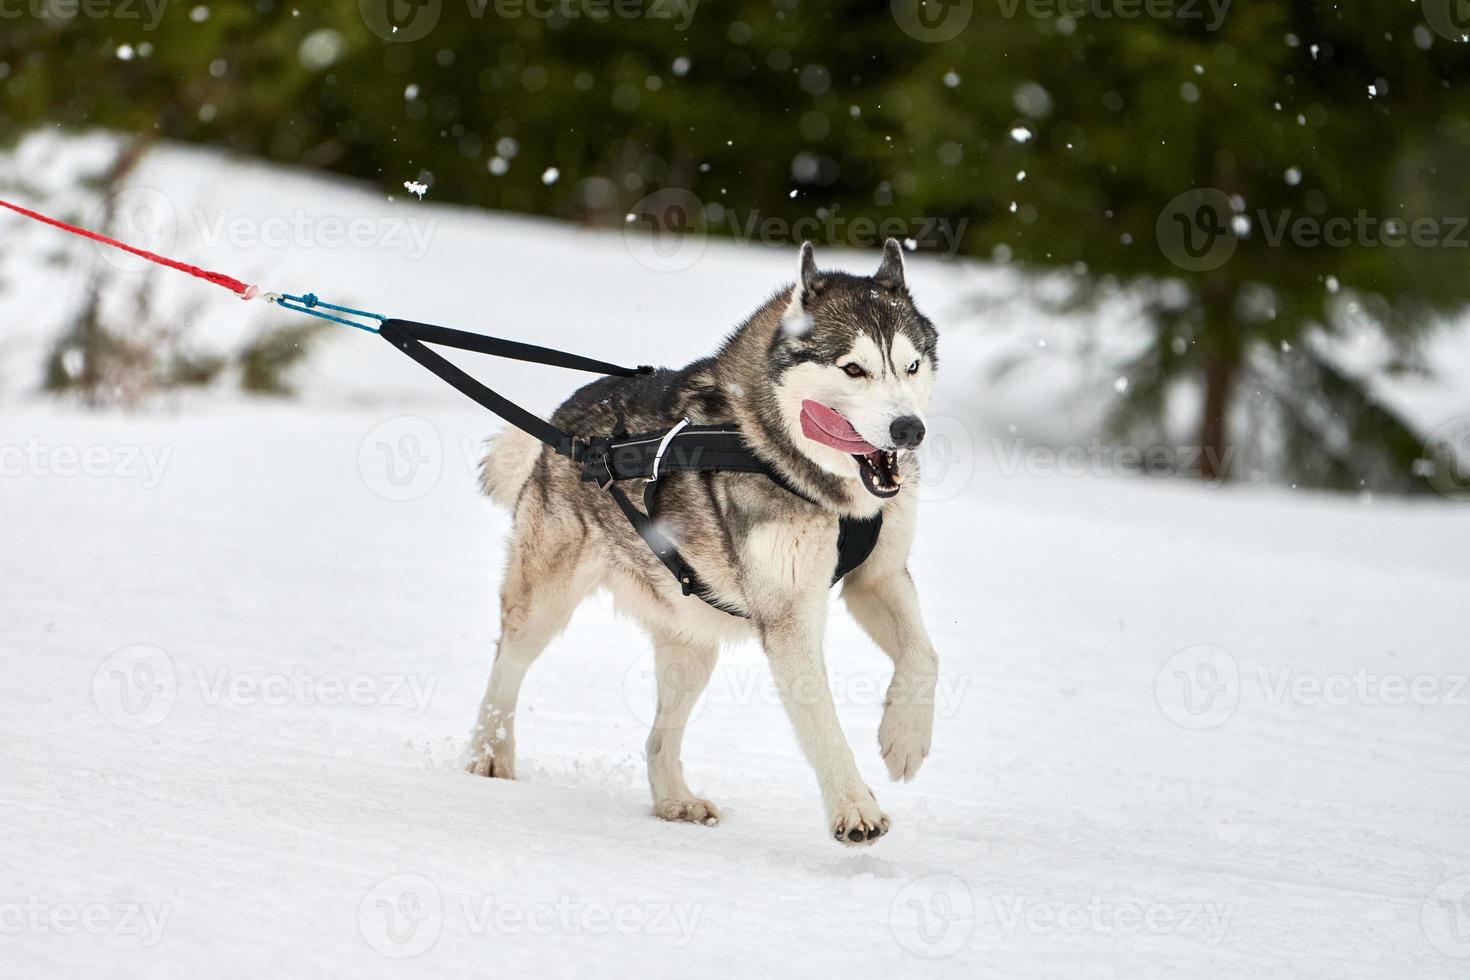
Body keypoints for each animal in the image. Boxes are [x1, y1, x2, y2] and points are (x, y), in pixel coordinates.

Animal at [473, 238, 940, 846]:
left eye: (911, 365)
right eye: (854, 368)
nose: (910, 429)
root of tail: (562, 422)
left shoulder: (877, 578)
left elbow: (925, 654)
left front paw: (904, 739)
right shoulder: (790, 614)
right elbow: (821, 718)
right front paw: (854, 809)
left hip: (692, 643)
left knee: (657, 737)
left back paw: (675, 800)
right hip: (543, 602)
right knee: (506, 666)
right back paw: (489, 755)